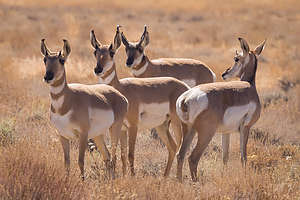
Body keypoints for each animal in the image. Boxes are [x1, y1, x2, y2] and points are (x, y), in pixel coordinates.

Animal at [40, 38, 127, 179]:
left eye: (62, 60)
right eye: (45, 59)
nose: (48, 77)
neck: (66, 103)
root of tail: (120, 95)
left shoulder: (83, 135)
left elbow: (80, 161)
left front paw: (82, 181)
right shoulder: (63, 136)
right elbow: (67, 163)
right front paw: (66, 181)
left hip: (115, 129)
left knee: (114, 157)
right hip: (98, 135)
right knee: (107, 156)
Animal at [90, 26, 191, 177]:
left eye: (112, 52)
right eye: (95, 52)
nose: (98, 69)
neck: (121, 89)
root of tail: (185, 87)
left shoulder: (133, 126)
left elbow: (131, 154)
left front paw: (132, 177)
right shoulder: (122, 129)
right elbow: (123, 155)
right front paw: (125, 177)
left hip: (177, 123)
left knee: (180, 148)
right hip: (161, 126)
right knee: (173, 147)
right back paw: (165, 177)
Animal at [176, 37, 264, 181]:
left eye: (236, 58)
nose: (224, 74)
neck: (249, 86)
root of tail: (186, 98)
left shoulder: (226, 132)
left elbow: (225, 157)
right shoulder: (246, 128)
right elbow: (243, 156)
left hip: (189, 130)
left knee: (181, 155)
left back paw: (180, 181)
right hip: (206, 134)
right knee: (193, 158)